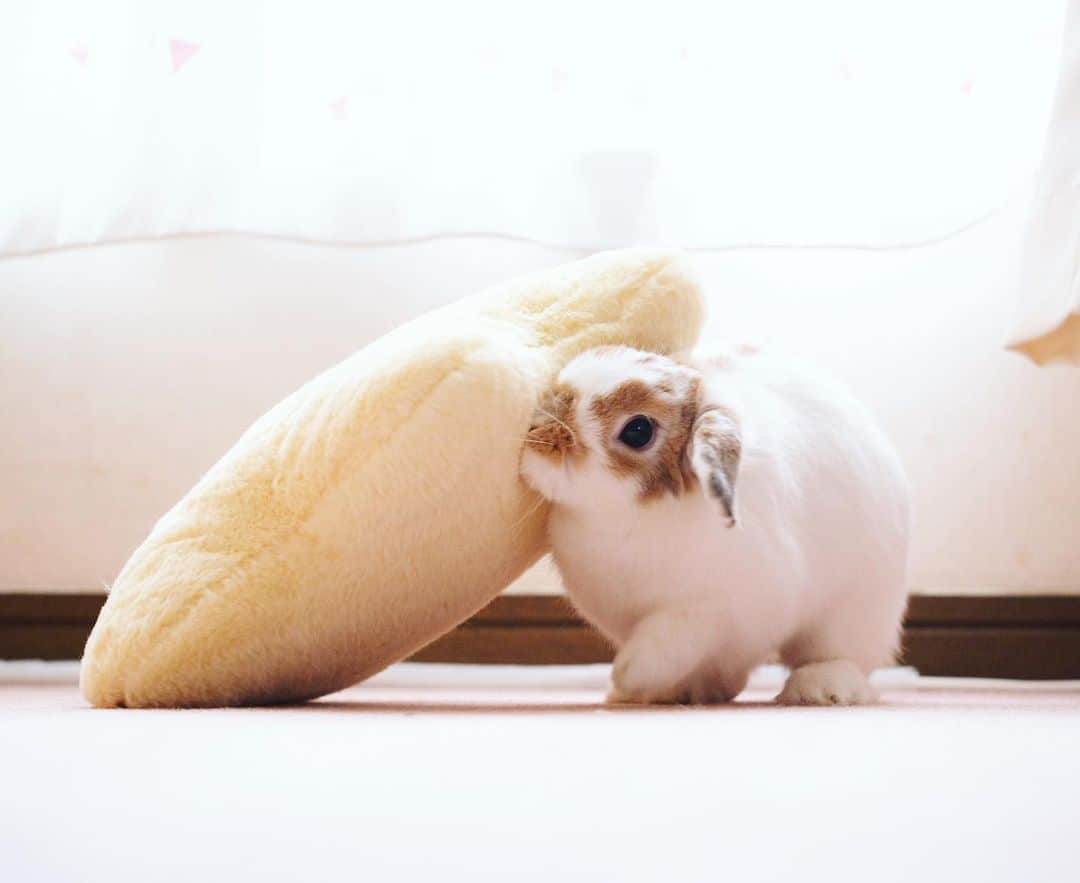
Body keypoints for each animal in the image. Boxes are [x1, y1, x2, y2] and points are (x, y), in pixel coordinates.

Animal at [520, 344, 910, 706]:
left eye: (638, 431)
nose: (539, 427)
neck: (624, 516)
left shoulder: (714, 607)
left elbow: (667, 639)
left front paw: (627, 674)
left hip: (853, 613)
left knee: (841, 657)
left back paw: (819, 689)